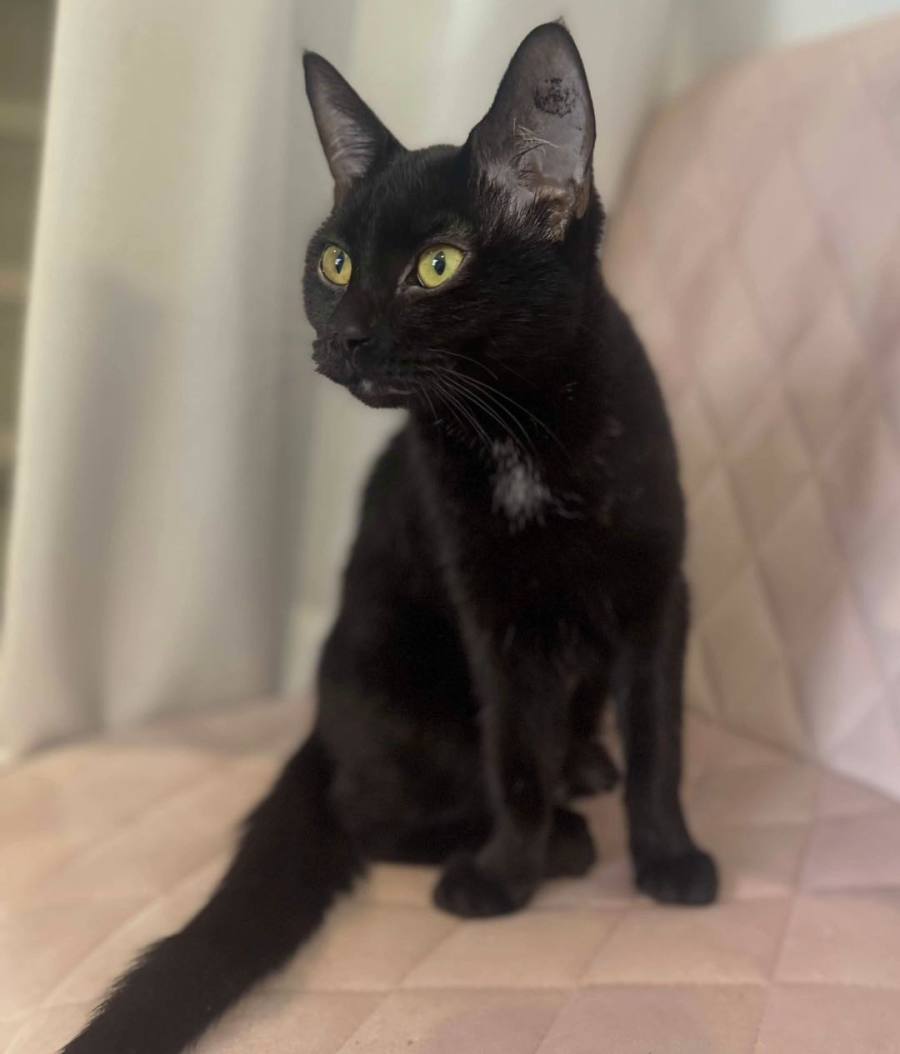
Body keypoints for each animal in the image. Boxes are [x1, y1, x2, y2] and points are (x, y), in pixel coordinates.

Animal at [62, 22, 717, 1054]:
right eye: (333, 263)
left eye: (438, 264)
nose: (346, 337)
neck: (519, 436)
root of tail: (320, 728)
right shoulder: (490, 612)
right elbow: (512, 756)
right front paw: (506, 874)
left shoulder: (657, 590)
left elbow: (661, 740)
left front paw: (668, 858)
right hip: (394, 679)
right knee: (371, 813)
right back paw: (556, 836)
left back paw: (585, 769)